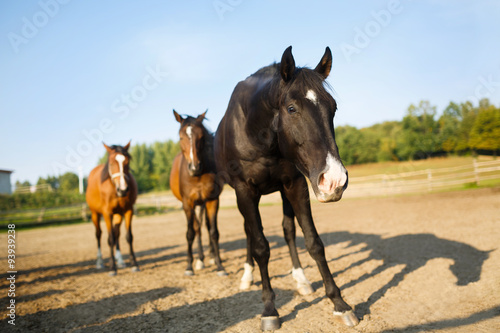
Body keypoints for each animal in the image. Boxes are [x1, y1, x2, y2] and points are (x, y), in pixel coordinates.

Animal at [84, 141, 138, 274]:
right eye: (112, 163)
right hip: (95, 214)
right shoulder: (107, 213)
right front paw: (112, 267)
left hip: (118, 214)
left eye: (127, 162)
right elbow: (110, 239)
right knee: (99, 234)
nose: (123, 190)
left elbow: (128, 237)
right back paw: (100, 262)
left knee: (116, 233)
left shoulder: (128, 211)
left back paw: (121, 261)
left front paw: (134, 264)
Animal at [171, 110, 228, 276]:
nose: (194, 167)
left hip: (203, 203)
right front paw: (189, 266)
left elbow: (214, 232)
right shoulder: (187, 204)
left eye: (202, 137)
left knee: (206, 227)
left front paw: (220, 265)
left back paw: (210, 257)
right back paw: (200, 259)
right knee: (197, 228)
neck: (197, 176)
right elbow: (190, 233)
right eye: (181, 137)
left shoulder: (212, 200)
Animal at [213, 46, 358, 330]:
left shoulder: (296, 184)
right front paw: (269, 309)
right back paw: (247, 276)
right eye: (291, 108)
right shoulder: (244, 191)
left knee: (288, 230)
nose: (334, 179)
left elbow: (313, 242)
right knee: (249, 233)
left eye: (333, 107)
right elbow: (260, 247)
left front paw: (339, 303)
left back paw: (301, 279)